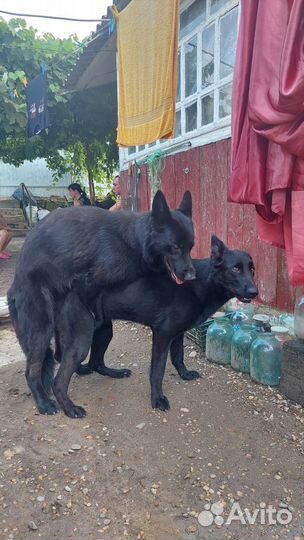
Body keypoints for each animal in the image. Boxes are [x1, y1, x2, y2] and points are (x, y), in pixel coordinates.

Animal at [8, 192, 197, 416]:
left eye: (191, 247)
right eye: (175, 247)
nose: (192, 276)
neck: (134, 242)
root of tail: (14, 284)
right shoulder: (85, 283)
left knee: (72, 356)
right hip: (40, 330)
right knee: (33, 370)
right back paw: (44, 402)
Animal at [53, 234, 258, 416]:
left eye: (252, 269)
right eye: (235, 269)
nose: (254, 292)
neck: (201, 283)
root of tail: (66, 286)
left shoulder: (177, 333)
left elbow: (178, 357)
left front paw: (184, 374)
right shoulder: (162, 334)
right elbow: (157, 371)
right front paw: (158, 399)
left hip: (104, 331)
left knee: (95, 363)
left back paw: (115, 373)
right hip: (82, 341)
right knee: (59, 381)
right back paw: (70, 408)